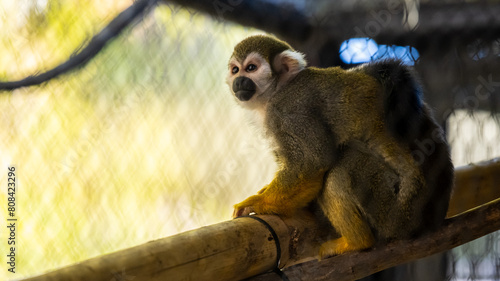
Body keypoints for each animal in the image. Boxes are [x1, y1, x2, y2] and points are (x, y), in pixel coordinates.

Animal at [227, 35, 454, 258]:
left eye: (251, 68)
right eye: (235, 69)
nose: (238, 81)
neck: (278, 89)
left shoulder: (288, 111)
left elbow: (313, 163)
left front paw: (256, 203)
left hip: (395, 215)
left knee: (341, 170)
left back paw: (356, 242)